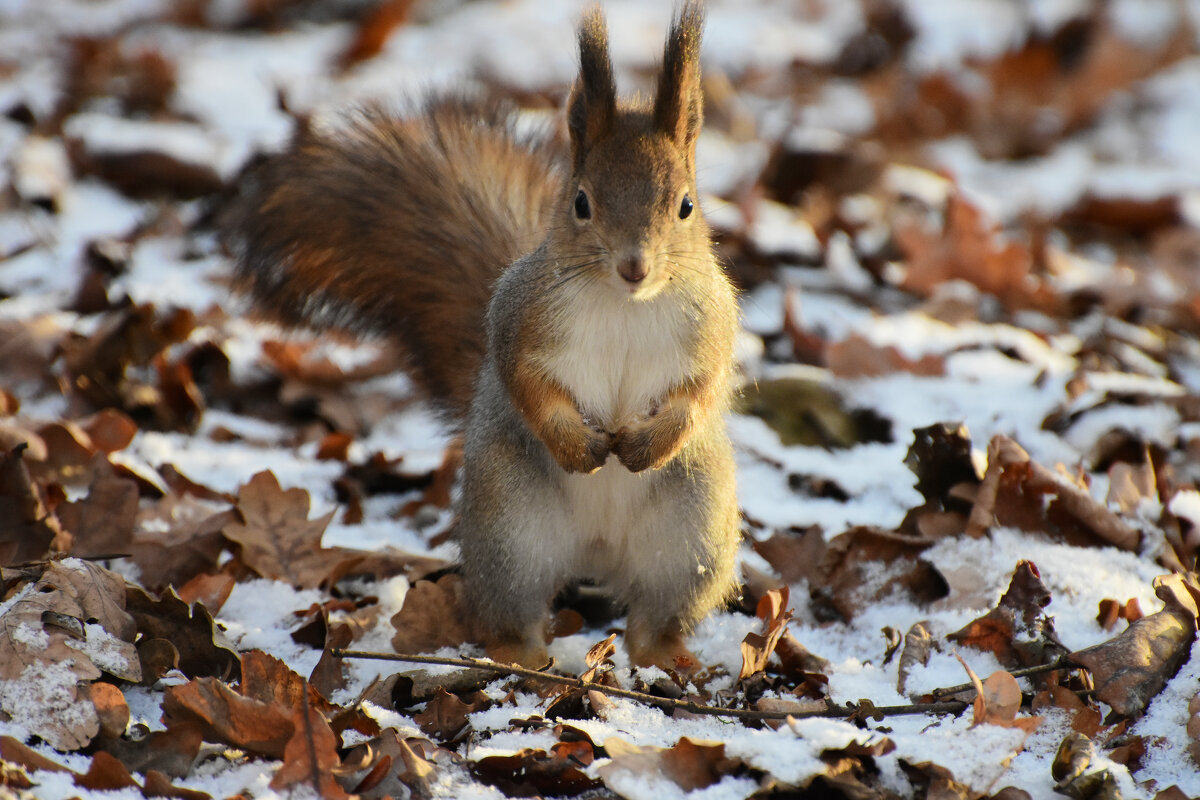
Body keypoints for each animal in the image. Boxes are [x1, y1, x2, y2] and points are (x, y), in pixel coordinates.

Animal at [220, 3, 734, 671]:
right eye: (581, 203)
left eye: (686, 206)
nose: (635, 266)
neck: (625, 305)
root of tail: (596, 553)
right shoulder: (520, 321)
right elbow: (526, 382)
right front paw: (577, 447)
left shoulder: (714, 328)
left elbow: (701, 392)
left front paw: (649, 443)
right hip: (510, 530)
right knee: (512, 609)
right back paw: (521, 656)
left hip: (691, 535)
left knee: (654, 616)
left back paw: (664, 655)